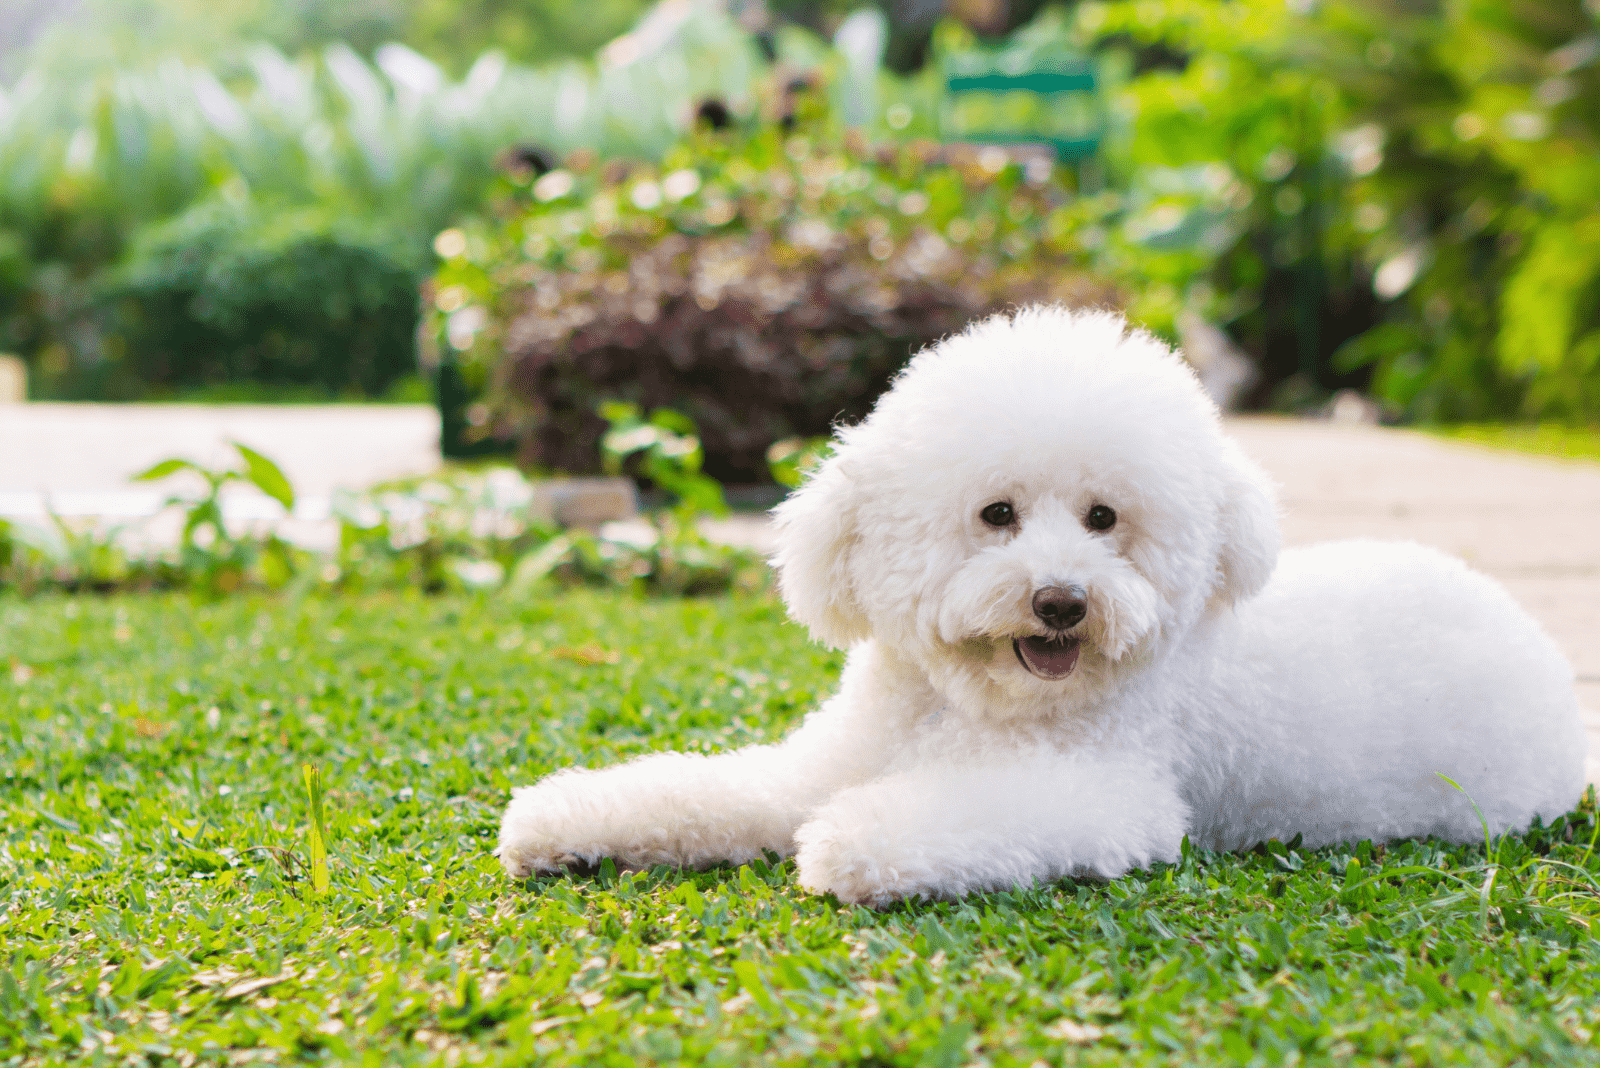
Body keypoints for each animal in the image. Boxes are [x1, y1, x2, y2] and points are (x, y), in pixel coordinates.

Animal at [502, 303, 1587, 908]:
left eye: (1104, 518)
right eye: (998, 514)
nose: (1062, 602)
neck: (963, 707)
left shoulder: (1108, 796)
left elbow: (959, 817)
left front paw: (855, 844)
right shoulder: (820, 766)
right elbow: (707, 791)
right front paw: (561, 820)